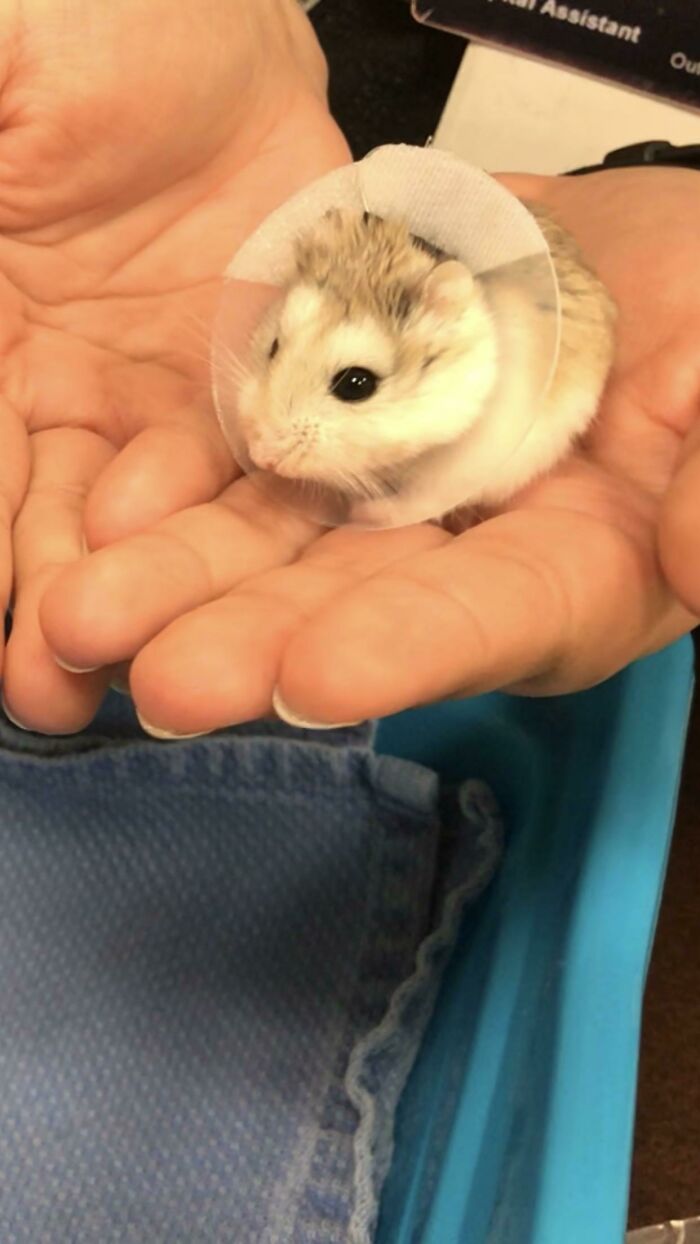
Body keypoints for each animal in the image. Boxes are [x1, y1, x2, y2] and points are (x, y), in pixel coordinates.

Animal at [233, 205, 616, 525]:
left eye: (357, 384)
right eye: (273, 346)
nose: (261, 457)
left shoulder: (461, 471)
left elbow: (417, 501)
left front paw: (364, 513)